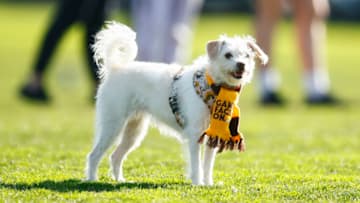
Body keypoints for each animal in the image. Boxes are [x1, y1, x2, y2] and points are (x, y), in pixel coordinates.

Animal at [86, 21, 268, 185]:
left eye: (247, 56)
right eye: (228, 55)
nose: (242, 64)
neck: (213, 87)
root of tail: (116, 68)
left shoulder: (212, 135)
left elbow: (207, 165)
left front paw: (208, 183)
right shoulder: (195, 134)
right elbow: (196, 164)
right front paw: (197, 183)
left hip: (134, 131)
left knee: (115, 156)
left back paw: (120, 180)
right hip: (112, 125)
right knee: (94, 155)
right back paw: (92, 179)